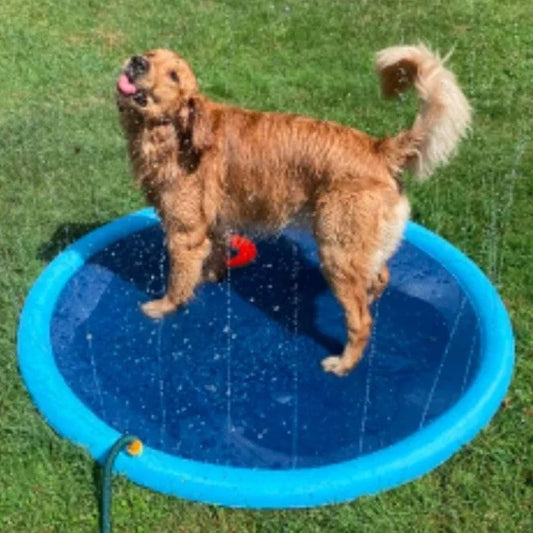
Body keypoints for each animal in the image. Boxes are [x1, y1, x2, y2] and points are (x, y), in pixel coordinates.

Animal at [116, 46, 470, 378]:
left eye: (174, 75)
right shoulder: (214, 223)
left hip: (336, 251)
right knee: (380, 277)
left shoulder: (184, 233)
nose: (137, 61)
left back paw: (344, 363)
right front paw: (207, 278)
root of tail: (379, 148)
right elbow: (211, 258)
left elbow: (177, 280)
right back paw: (369, 299)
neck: (175, 133)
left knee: (361, 322)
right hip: (359, 247)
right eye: (151, 54)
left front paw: (163, 306)